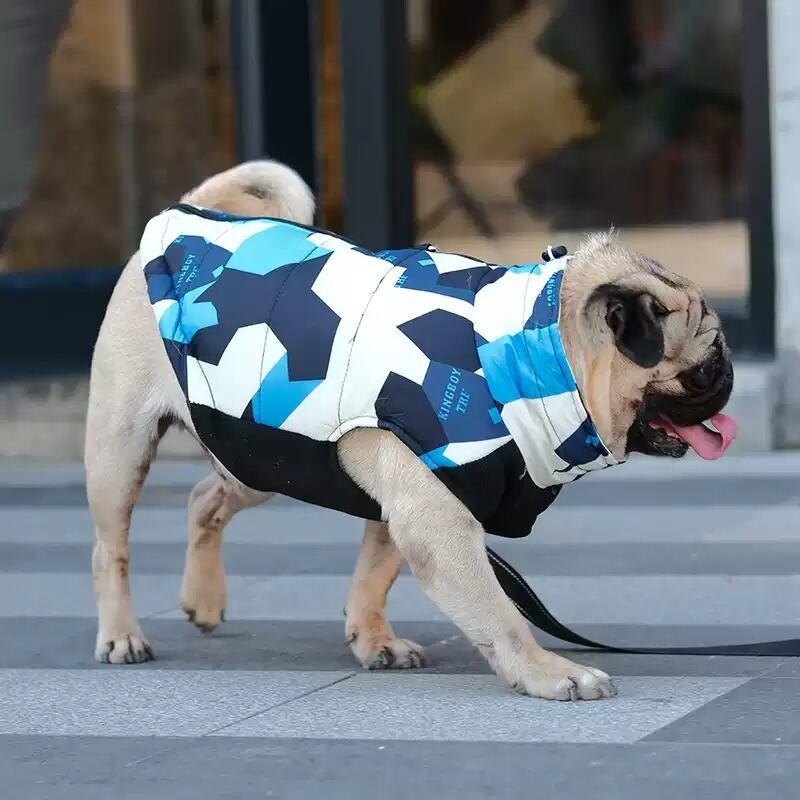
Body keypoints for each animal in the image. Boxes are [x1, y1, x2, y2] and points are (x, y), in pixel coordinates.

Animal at [85, 160, 735, 701]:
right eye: (705, 366)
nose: (727, 377)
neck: (527, 348)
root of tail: (189, 209)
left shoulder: (416, 494)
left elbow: (374, 574)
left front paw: (372, 638)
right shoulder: (436, 517)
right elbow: (500, 614)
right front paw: (549, 672)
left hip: (258, 449)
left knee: (205, 499)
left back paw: (203, 601)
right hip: (122, 448)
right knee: (110, 548)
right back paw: (122, 634)